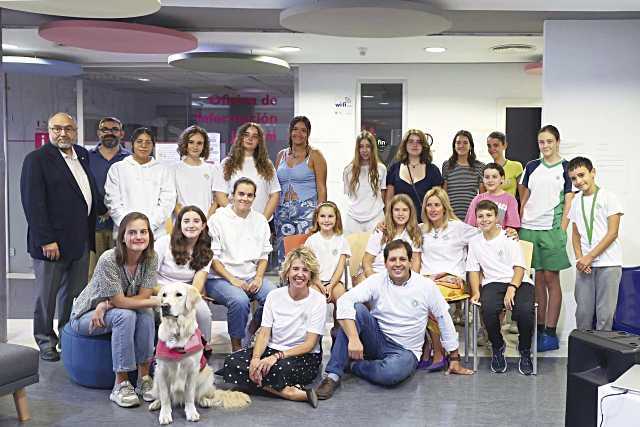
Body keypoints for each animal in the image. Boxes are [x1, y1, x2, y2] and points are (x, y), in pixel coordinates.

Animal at [149, 282, 250, 426]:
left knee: (200, 395)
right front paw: (165, 414)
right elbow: (165, 397)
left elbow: (190, 395)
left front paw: (191, 412)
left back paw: (204, 400)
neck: (177, 332)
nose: (164, 306)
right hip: (156, 378)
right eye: (164, 295)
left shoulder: (192, 370)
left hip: (207, 375)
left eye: (179, 294)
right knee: (161, 395)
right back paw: (156, 403)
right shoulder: (161, 370)